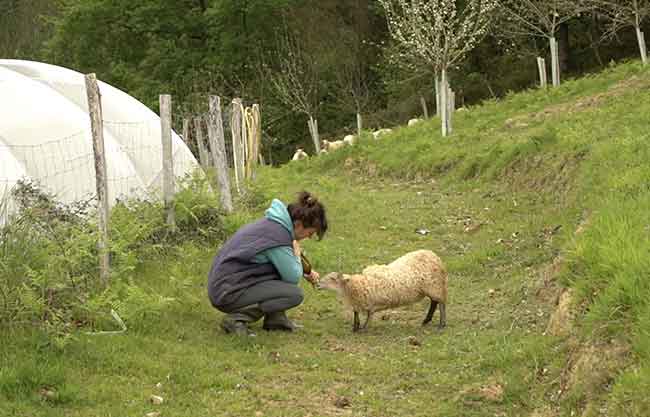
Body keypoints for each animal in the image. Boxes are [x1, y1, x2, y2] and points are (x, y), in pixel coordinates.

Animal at [318, 247, 446, 332]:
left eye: (332, 278)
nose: (318, 284)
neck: (357, 285)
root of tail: (433, 255)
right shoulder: (360, 302)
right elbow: (357, 313)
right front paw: (356, 327)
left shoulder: (370, 303)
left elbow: (369, 316)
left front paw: (363, 328)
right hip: (433, 288)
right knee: (434, 302)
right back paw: (427, 320)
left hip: (436, 287)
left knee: (441, 303)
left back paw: (441, 324)